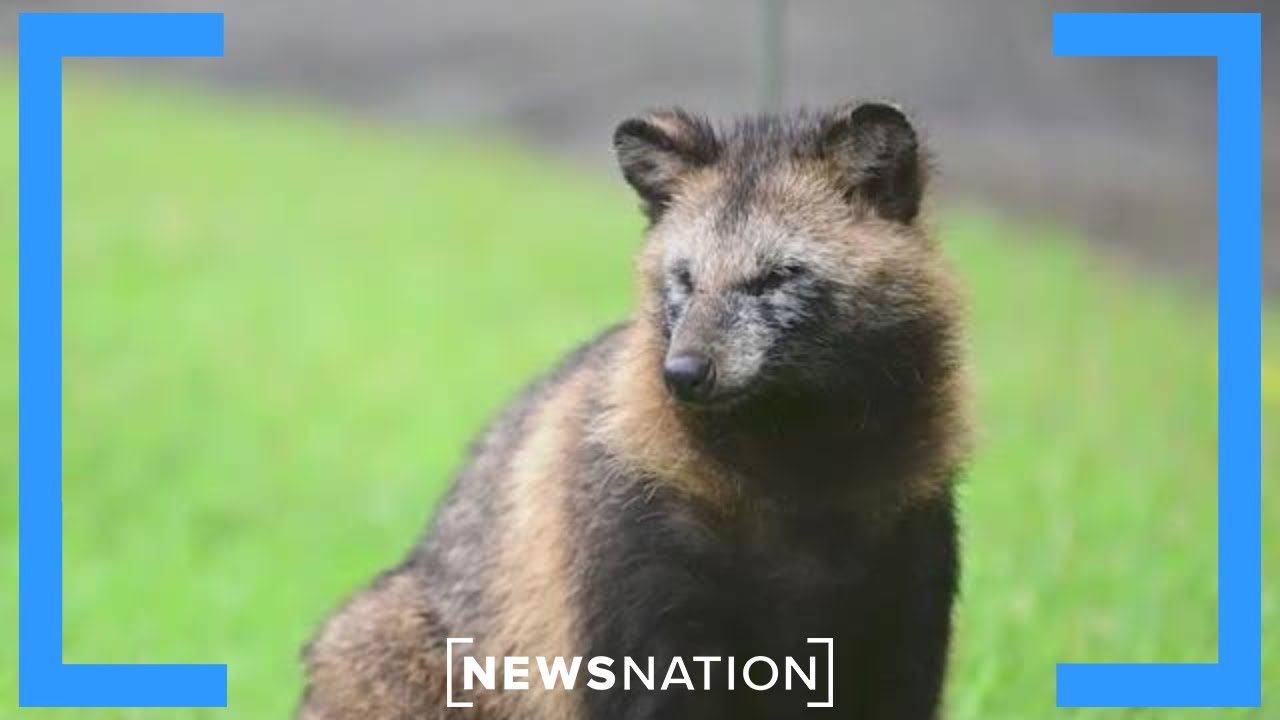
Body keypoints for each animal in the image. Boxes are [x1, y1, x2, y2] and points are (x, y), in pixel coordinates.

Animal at [298, 102, 970, 720]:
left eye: (777, 276)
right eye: (685, 277)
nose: (684, 373)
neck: (792, 436)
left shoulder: (905, 554)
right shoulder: (630, 544)